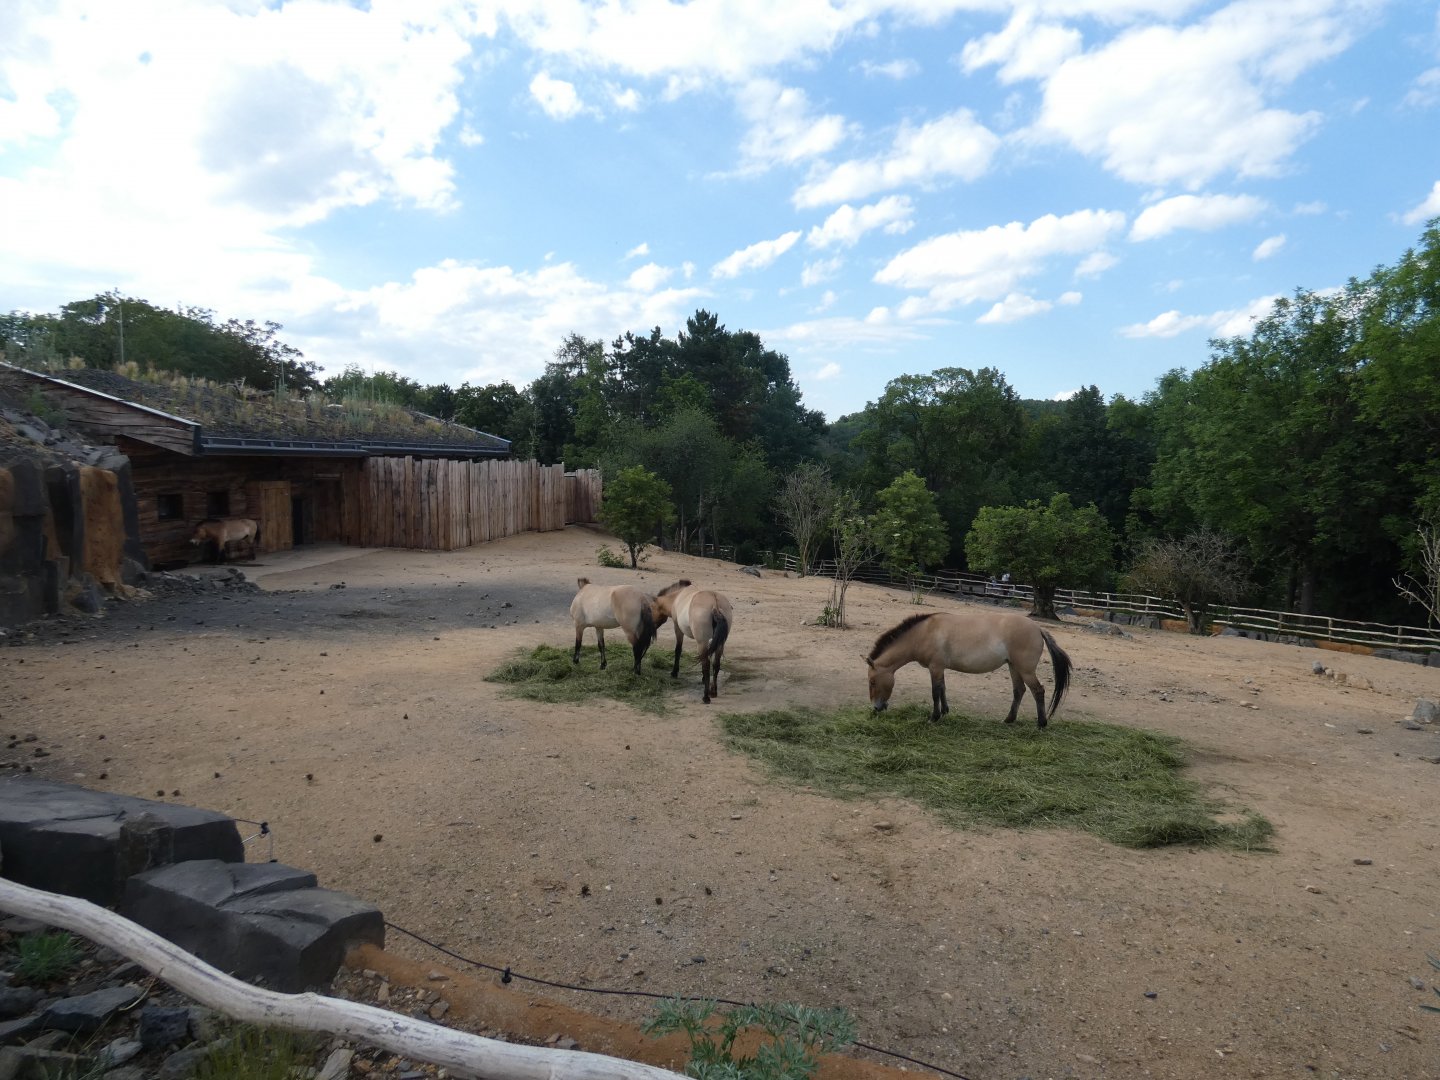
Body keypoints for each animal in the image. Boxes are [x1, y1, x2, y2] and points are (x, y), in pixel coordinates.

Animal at [864, 610, 1072, 727]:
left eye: (872, 681)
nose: (876, 707)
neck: (924, 633)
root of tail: (1038, 629)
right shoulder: (940, 668)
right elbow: (943, 689)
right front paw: (945, 712)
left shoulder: (935, 667)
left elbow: (935, 692)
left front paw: (934, 717)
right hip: (1014, 668)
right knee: (1019, 691)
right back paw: (1008, 720)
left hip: (1026, 670)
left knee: (1038, 691)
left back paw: (1041, 723)